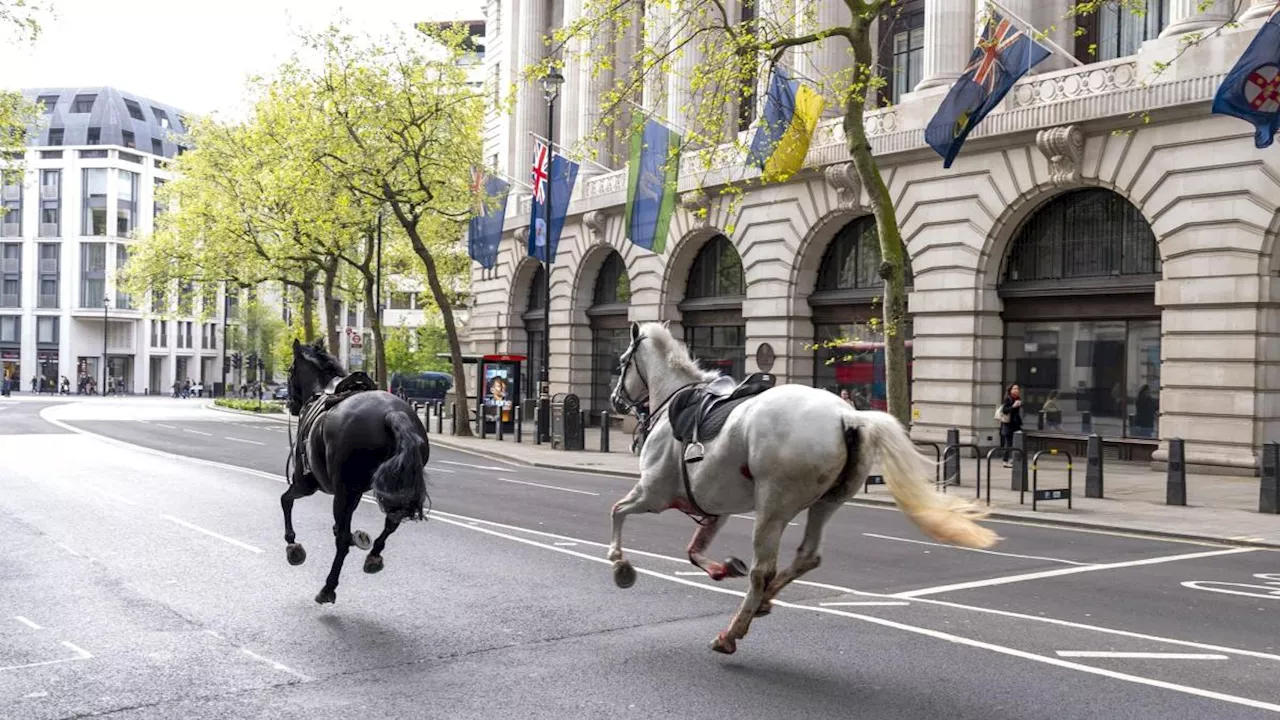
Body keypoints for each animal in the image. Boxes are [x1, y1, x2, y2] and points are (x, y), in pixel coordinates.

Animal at [281, 338, 430, 602]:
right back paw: (374, 555)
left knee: (341, 541)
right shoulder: (356, 491)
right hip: (390, 487)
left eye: (290, 371)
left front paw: (293, 545)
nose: (291, 404)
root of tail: (392, 413)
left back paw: (328, 587)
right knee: (391, 521)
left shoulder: (306, 483)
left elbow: (286, 501)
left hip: (339, 491)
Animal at [609, 322, 998, 653]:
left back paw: (732, 631)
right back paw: (763, 602)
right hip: (826, 502)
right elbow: (693, 550)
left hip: (772, 507)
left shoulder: (654, 493)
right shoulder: (714, 507)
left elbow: (617, 511)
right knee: (807, 556)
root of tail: (849, 415)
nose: (614, 401)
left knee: (762, 570)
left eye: (622, 362)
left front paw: (619, 563)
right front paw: (722, 568)